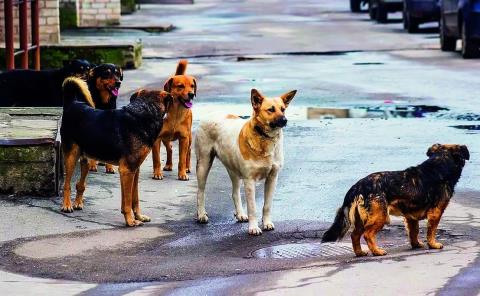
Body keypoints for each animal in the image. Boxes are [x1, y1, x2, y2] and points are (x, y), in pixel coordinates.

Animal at [61, 76, 172, 227]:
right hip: (71, 156)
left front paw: (138, 216)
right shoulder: (127, 170)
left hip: (86, 159)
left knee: (80, 183)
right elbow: (127, 202)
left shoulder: (134, 170)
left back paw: (78, 202)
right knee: (67, 184)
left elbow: (134, 198)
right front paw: (130, 221)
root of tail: (72, 103)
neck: (144, 112)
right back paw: (67, 205)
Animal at [195, 88, 296, 234]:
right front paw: (253, 228)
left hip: (233, 170)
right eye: (270, 110)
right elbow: (252, 208)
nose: (285, 120)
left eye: (283, 109)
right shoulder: (249, 181)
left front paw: (267, 223)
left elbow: (267, 205)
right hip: (203, 164)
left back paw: (240, 214)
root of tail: (211, 113)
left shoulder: (272, 178)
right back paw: (201, 214)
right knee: (200, 191)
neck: (264, 138)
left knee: (235, 192)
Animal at [322, 143, 468, 256]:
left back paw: (360, 253)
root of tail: (358, 186)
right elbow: (431, 231)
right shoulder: (436, 213)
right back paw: (377, 251)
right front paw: (433, 244)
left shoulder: (410, 217)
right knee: (367, 235)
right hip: (380, 216)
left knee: (355, 235)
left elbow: (414, 232)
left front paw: (416, 244)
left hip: (361, 219)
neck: (440, 164)